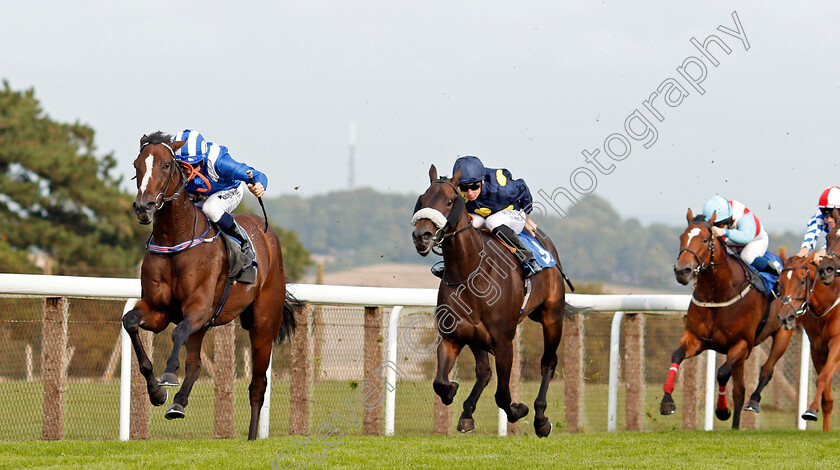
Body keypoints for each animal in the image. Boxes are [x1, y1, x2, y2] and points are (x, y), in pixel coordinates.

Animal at [123, 131, 296, 440]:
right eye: (136, 165)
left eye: (166, 165)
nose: (144, 207)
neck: (175, 238)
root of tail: (268, 236)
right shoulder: (158, 310)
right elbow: (130, 322)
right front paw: (156, 393)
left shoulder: (198, 308)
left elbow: (178, 332)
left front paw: (168, 373)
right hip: (206, 326)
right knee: (195, 364)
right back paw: (178, 404)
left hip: (263, 325)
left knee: (257, 386)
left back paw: (252, 438)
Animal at [410, 165, 568, 436]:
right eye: (423, 199)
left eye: (450, 201)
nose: (422, 235)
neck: (470, 273)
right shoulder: (452, 336)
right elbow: (440, 383)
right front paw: (452, 390)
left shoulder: (504, 342)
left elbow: (503, 396)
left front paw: (519, 410)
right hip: (476, 336)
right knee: (484, 371)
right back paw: (466, 415)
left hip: (552, 317)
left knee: (548, 362)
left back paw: (540, 418)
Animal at [664, 211, 796, 428]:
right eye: (681, 237)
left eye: (705, 239)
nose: (682, 271)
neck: (718, 292)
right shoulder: (696, 339)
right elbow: (676, 356)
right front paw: (667, 402)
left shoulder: (741, 344)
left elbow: (722, 373)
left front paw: (722, 410)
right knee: (740, 392)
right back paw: (735, 427)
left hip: (784, 331)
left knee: (766, 370)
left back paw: (754, 402)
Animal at [776, 250, 840, 430]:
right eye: (779, 283)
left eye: (803, 280)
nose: (786, 318)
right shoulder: (818, 349)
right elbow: (827, 399)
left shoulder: (837, 343)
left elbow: (823, 378)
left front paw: (810, 411)